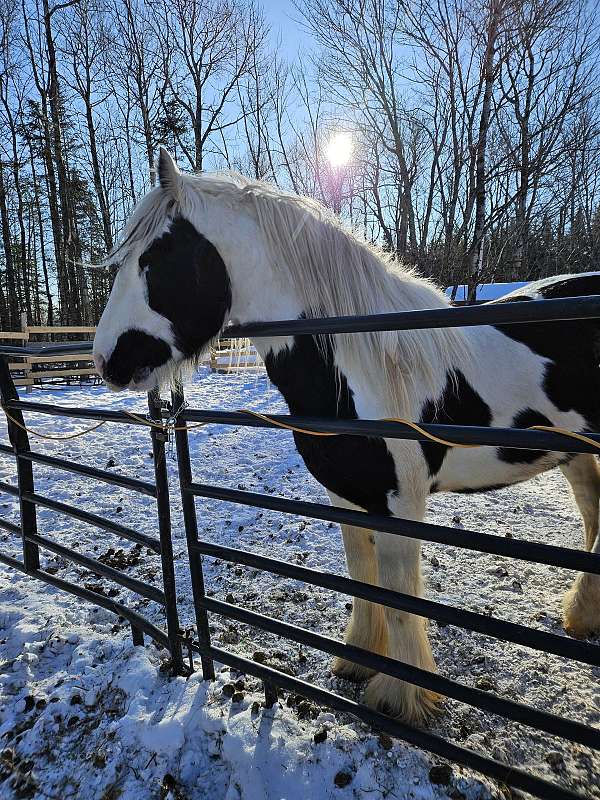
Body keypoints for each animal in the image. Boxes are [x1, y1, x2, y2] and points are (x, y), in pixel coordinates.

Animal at [91, 150, 600, 724]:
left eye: (153, 260)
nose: (105, 360)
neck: (363, 360)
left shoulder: (400, 503)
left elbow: (401, 599)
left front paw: (400, 696)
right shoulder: (347, 497)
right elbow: (362, 577)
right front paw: (358, 659)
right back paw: (585, 613)